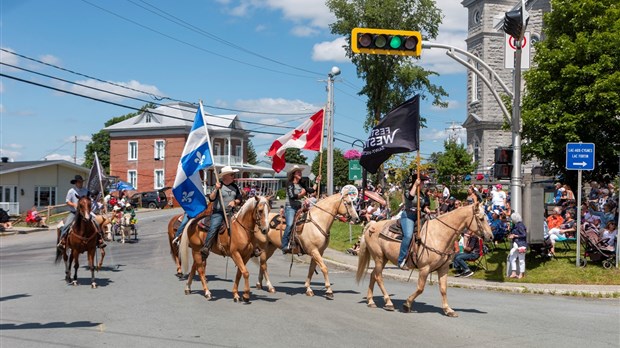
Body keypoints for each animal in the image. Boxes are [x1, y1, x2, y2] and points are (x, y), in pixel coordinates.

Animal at [356, 203, 492, 316]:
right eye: (481, 218)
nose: (490, 236)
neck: (439, 234)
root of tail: (372, 225)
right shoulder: (424, 268)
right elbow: (420, 288)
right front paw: (407, 304)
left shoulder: (443, 268)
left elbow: (443, 289)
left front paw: (448, 310)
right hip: (379, 257)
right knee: (378, 277)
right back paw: (388, 303)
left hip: (383, 258)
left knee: (373, 275)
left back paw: (371, 301)